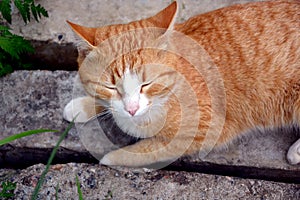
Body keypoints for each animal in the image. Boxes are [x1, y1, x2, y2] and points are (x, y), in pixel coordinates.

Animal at [63, 0, 300, 167]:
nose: (131, 109)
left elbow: (150, 149)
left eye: (146, 84)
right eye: (111, 87)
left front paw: (111, 157)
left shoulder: (205, 131)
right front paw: (84, 105)